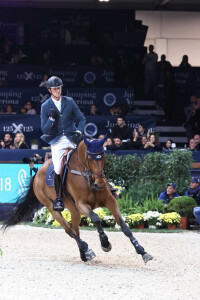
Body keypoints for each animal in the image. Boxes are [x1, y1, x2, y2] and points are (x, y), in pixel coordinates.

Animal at [2, 135, 153, 264]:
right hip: (52, 208)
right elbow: (96, 219)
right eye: (90, 158)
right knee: (69, 230)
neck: (88, 176)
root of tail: (38, 172)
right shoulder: (82, 204)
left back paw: (84, 254)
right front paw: (105, 243)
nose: (100, 184)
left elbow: (124, 226)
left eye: (103, 156)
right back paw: (87, 249)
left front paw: (142, 251)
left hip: (74, 210)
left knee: (75, 229)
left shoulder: (110, 202)